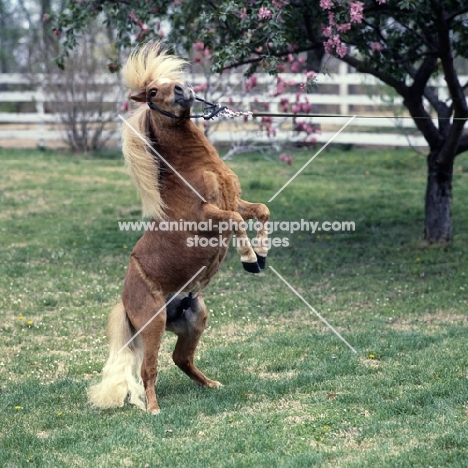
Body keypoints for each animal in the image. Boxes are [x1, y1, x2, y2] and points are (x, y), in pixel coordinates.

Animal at [88, 43, 270, 414]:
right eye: (153, 92)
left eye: (172, 81)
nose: (183, 90)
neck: (193, 167)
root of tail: (125, 302)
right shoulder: (209, 217)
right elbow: (237, 222)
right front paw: (249, 259)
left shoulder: (235, 201)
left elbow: (260, 211)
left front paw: (261, 255)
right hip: (154, 326)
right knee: (149, 368)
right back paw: (153, 408)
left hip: (195, 319)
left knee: (181, 359)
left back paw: (212, 384)